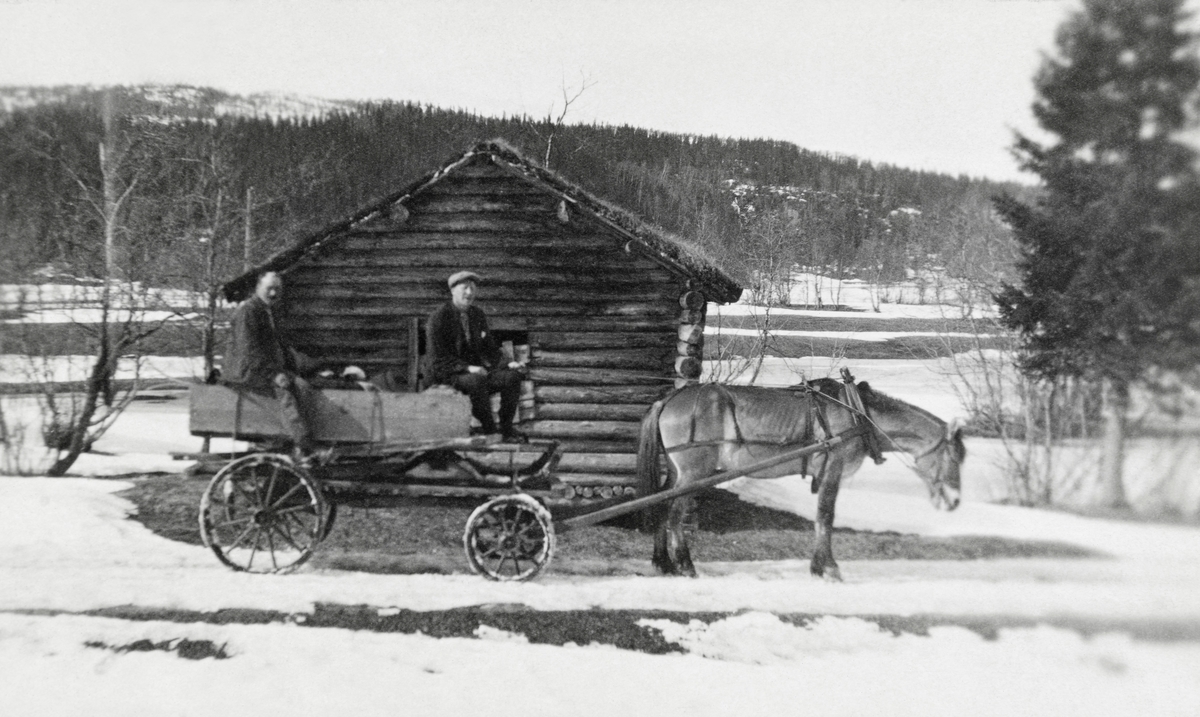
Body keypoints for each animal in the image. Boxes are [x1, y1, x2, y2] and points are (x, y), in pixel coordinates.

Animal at [638, 378, 964, 582]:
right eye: (954, 456)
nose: (955, 501)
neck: (859, 415)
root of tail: (669, 399)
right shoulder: (833, 468)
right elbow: (825, 517)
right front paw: (829, 568)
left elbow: (822, 518)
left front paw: (818, 567)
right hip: (694, 471)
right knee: (675, 514)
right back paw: (685, 565)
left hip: (677, 472)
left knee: (662, 508)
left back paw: (663, 563)